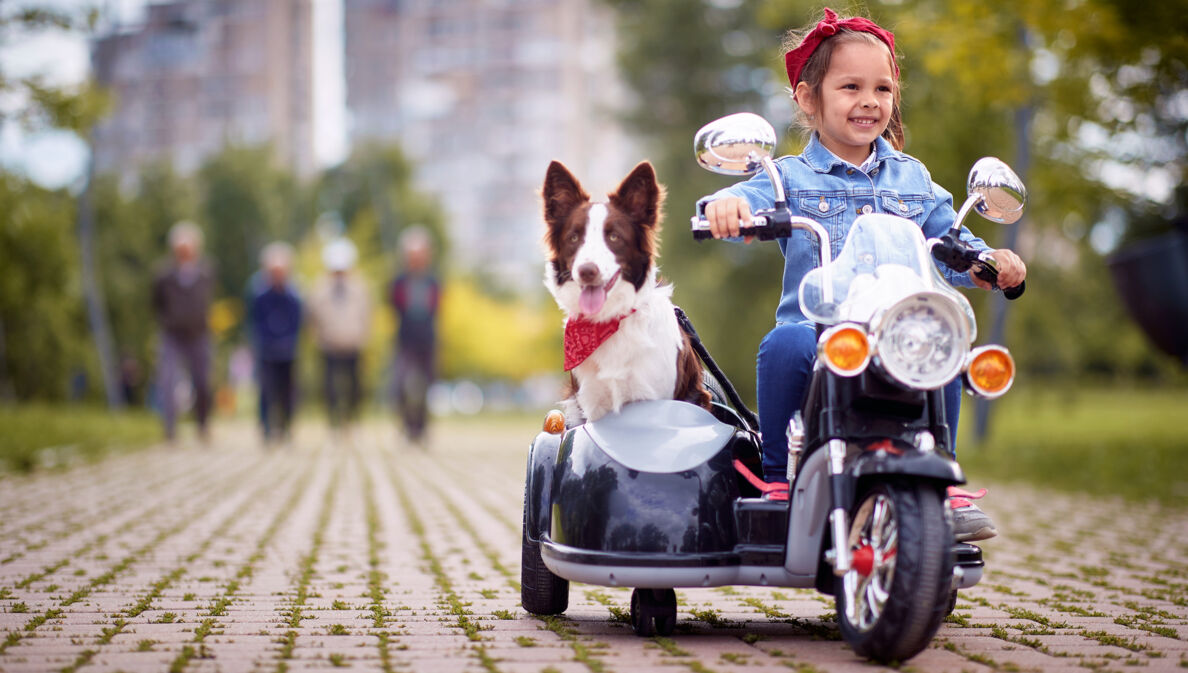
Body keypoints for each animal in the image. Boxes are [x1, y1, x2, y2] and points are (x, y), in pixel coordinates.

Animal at [544, 159, 708, 425]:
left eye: (614, 237)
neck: (609, 322)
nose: (587, 271)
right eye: (574, 237)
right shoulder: (592, 405)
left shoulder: (655, 398)